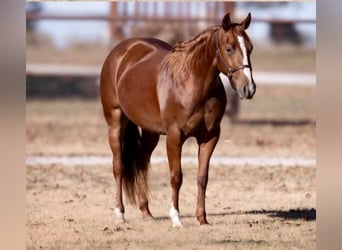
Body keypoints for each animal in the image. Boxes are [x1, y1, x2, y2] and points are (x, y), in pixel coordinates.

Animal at [100, 12, 255, 227]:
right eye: (229, 48)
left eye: (250, 48)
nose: (248, 88)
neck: (191, 82)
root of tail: (120, 51)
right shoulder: (174, 136)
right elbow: (176, 177)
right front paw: (176, 217)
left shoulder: (210, 137)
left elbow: (202, 177)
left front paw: (202, 218)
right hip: (115, 122)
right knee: (119, 166)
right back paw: (120, 213)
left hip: (150, 132)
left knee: (142, 162)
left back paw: (146, 212)